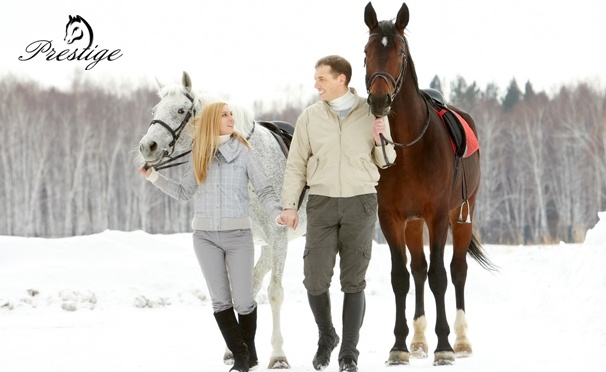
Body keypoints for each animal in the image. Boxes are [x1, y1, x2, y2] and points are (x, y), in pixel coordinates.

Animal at [140, 71, 306, 368]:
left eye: (180, 110)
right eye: (155, 110)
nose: (148, 146)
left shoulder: (278, 238)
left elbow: (275, 293)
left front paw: (278, 355)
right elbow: (233, 291)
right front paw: (233, 349)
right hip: (265, 246)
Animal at [366, 0, 498, 366]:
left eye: (399, 52)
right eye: (367, 51)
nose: (379, 100)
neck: (411, 147)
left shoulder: (438, 216)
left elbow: (441, 276)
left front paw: (445, 346)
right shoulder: (391, 218)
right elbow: (401, 277)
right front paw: (399, 346)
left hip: (463, 214)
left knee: (457, 270)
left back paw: (462, 341)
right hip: (413, 224)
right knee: (418, 270)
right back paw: (418, 341)